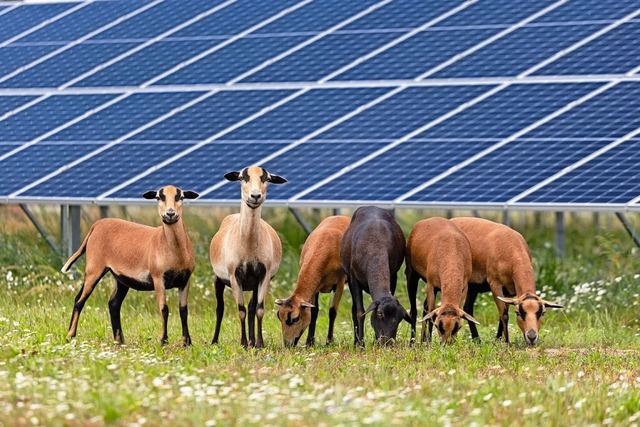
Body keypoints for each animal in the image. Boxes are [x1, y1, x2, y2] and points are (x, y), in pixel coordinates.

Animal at [62, 186, 200, 346]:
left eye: (181, 197)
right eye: (159, 197)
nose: (170, 214)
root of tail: (96, 226)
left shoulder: (185, 280)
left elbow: (183, 310)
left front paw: (187, 342)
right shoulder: (158, 278)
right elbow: (164, 309)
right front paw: (163, 341)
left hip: (120, 278)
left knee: (113, 304)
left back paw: (119, 340)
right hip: (94, 268)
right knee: (79, 300)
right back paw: (70, 335)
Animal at [210, 166, 284, 350]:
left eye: (267, 179)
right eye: (242, 178)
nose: (255, 196)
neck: (248, 246)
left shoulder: (264, 275)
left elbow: (258, 309)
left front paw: (259, 343)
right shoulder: (234, 275)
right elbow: (240, 310)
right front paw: (243, 343)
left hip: (254, 283)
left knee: (251, 307)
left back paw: (252, 341)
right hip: (218, 279)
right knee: (220, 308)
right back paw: (215, 341)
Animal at [272, 216, 348, 350]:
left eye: (295, 318)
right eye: (278, 315)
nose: (287, 345)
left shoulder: (340, 283)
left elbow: (332, 312)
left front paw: (329, 341)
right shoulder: (315, 288)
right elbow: (314, 312)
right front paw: (309, 342)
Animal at [340, 205, 410, 348]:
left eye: (400, 318)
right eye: (380, 313)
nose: (387, 343)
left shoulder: (393, 276)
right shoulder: (354, 279)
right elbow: (360, 313)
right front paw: (361, 345)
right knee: (354, 310)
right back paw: (356, 342)